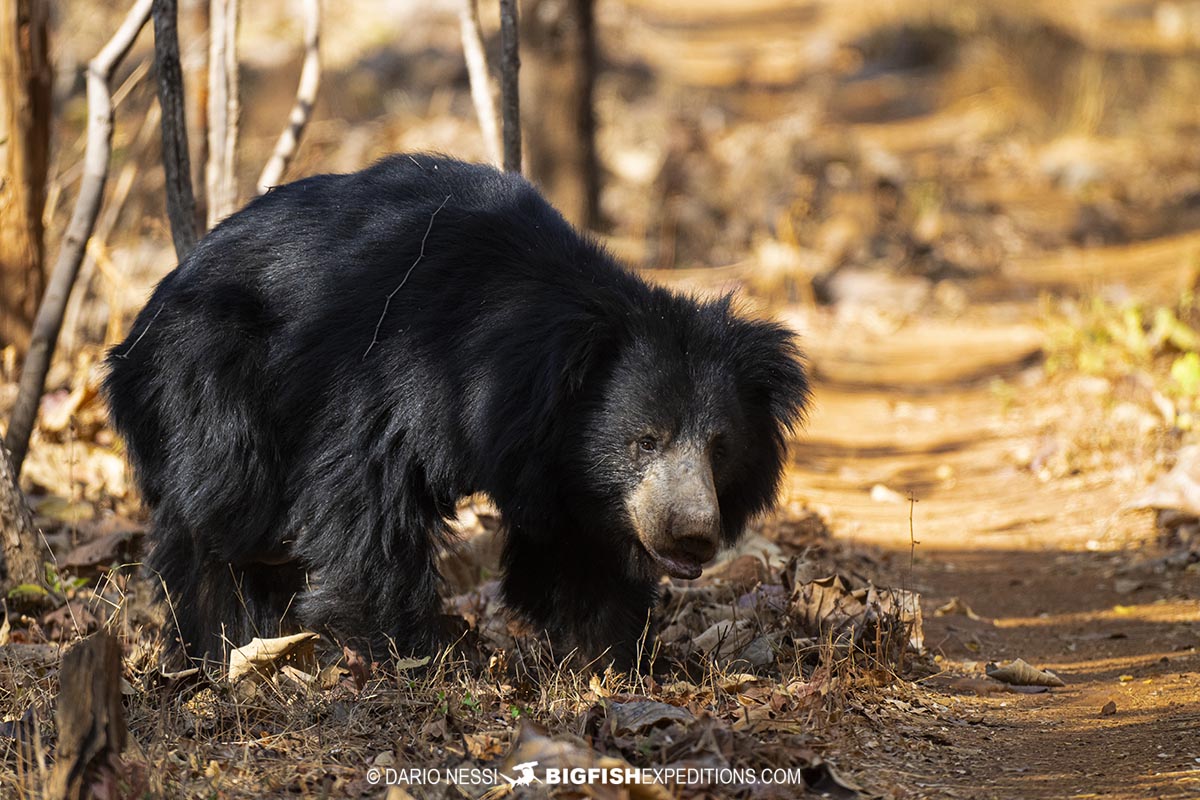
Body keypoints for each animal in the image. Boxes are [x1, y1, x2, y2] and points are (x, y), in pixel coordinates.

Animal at [105, 154, 806, 671]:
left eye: (720, 447)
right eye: (645, 441)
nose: (692, 535)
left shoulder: (569, 470)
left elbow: (579, 548)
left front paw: (605, 653)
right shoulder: (403, 371)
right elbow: (367, 494)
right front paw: (411, 649)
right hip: (209, 368)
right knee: (228, 510)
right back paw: (217, 643)